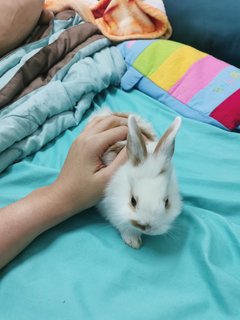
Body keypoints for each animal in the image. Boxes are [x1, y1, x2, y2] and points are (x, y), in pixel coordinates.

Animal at [92, 109, 182, 249]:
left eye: (167, 202)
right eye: (133, 201)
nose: (148, 227)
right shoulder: (111, 208)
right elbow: (125, 226)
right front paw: (133, 241)